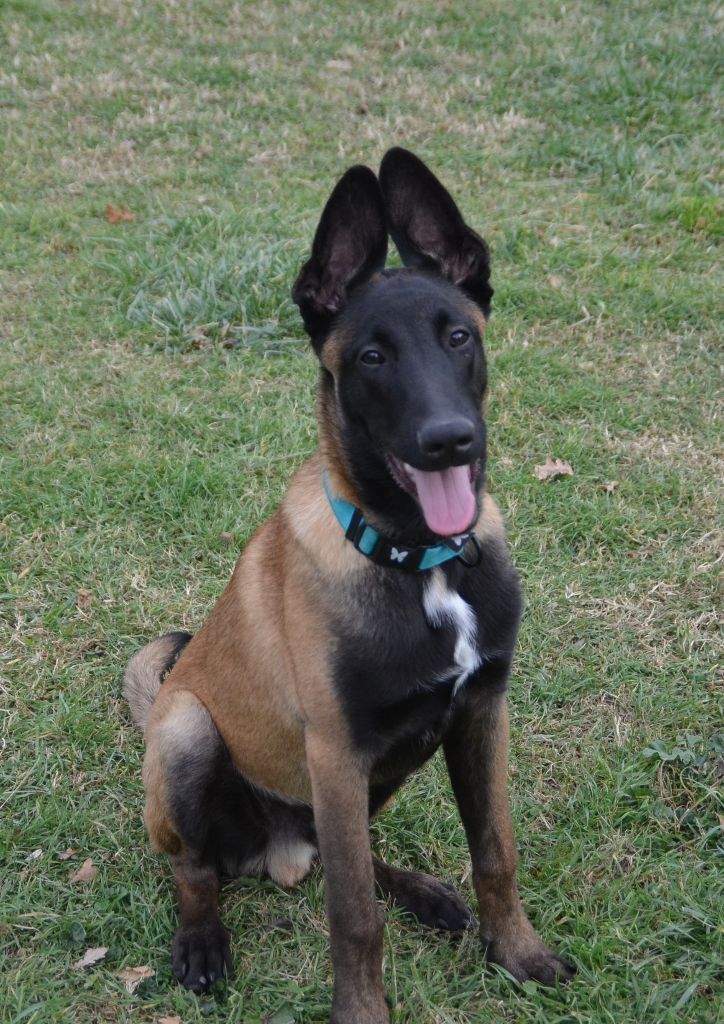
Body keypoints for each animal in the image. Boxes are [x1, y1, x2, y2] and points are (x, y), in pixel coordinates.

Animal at [125, 148, 577, 1019]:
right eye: (372, 357)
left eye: (459, 336)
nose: (449, 440)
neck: (419, 563)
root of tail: (279, 853)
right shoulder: (336, 752)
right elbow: (353, 917)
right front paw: (361, 1012)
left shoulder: (480, 714)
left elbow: (494, 853)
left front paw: (518, 953)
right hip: (189, 733)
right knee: (197, 871)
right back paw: (201, 942)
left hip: (386, 771)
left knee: (356, 856)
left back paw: (425, 893)